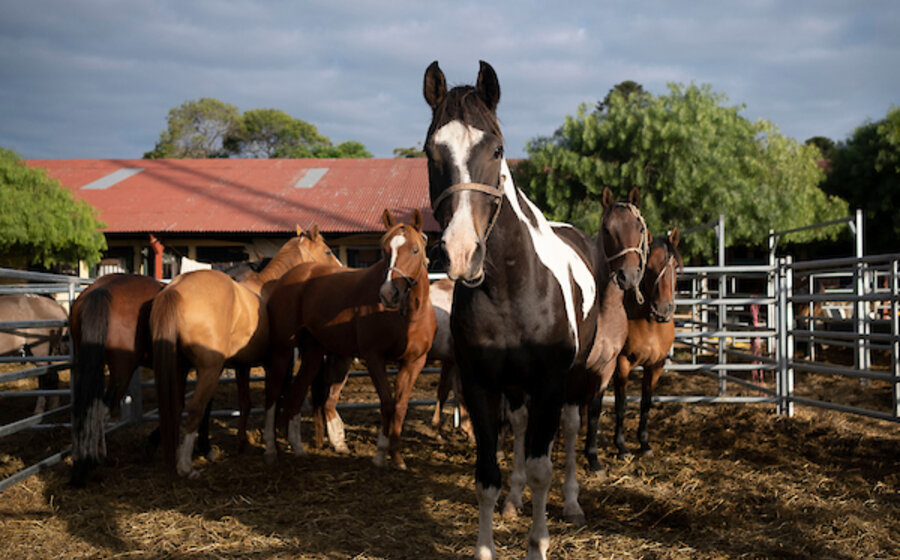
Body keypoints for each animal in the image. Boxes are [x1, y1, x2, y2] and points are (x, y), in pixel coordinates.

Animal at [153, 225, 340, 480]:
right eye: (328, 251)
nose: (340, 270)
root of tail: (175, 289)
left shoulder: (243, 365)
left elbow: (246, 403)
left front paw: (244, 445)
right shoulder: (277, 361)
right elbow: (277, 397)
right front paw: (274, 445)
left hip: (180, 369)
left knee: (177, 408)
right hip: (209, 369)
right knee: (195, 409)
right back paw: (186, 467)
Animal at [264, 209, 436, 468]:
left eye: (415, 250)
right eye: (384, 250)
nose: (389, 294)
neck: (408, 316)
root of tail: (288, 277)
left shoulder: (414, 362)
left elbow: (400, 407)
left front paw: (397, 459)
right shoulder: (374, 358)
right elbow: (386, 404)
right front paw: (380, 455)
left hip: (313, 353)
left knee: (297, 391)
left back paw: (298, 448)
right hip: (283, 350)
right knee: (274, 394)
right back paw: (271, 450)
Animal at [616, 229, 684, 460]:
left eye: (675, 266)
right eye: (649, 266)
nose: (662, 310)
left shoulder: (655, 366)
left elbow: (646, 402)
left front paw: (644, 444)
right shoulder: (622, 363)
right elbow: (621, 403)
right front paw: (622, 448)